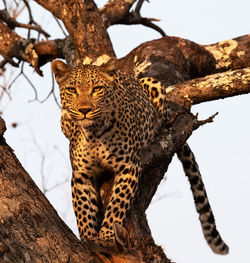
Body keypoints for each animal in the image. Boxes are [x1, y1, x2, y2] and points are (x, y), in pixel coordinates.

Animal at [50, 60, 229, 256]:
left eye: (97, 89)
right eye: (72, 90)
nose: (84, 110)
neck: (94, 132)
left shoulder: (128, 166)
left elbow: (117, 204)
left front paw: (106, 236)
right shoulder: (81, 174)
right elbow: (82, 209)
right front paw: (88, 239)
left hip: (153, 85)